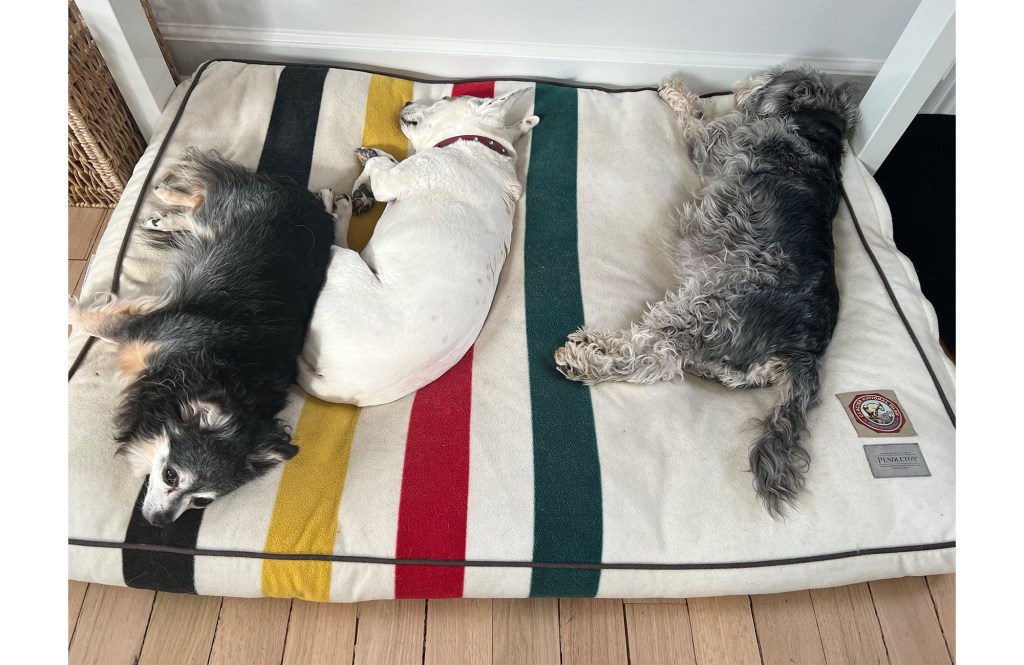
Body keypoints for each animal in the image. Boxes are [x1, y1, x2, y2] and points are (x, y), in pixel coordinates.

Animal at [296, 87, 540, 403]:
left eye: (445, 99)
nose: (408, 101)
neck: (483, 143)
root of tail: (338, 387)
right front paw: (371, 166)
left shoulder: (390, 181)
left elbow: (382, 166)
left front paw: (368, 173)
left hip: (343, 264)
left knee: (336, 239)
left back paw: (335, 206)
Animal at [557, 66, 860, 514]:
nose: (745, 86)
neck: (815, 130)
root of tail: (805, 354)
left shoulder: (711, 142)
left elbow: (696, 116)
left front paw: (676, 90)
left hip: (705, 306)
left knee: (654, 357)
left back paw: (586, 358)